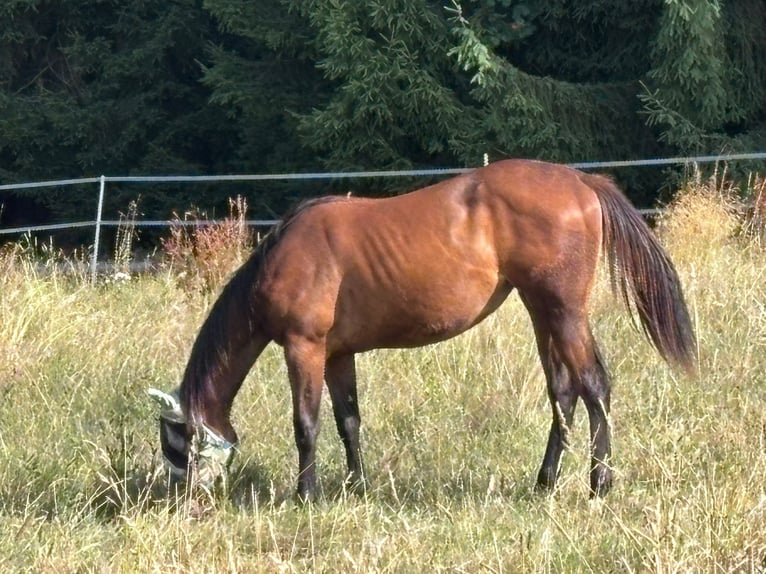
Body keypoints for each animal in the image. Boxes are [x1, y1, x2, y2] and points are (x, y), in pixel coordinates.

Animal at [149, 159, 696, 501]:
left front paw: (306, 494)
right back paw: (544, 481)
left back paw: (599, 483)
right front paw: (357, 488)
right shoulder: (337, 355)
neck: (285, 256)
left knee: (595, 386)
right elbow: (349, 421)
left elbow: (306, 425)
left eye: (173, 440)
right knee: (564, 393)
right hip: (542, 311)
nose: (179, 499)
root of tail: (582, 183)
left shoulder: (304, 348)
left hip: (563, 311)